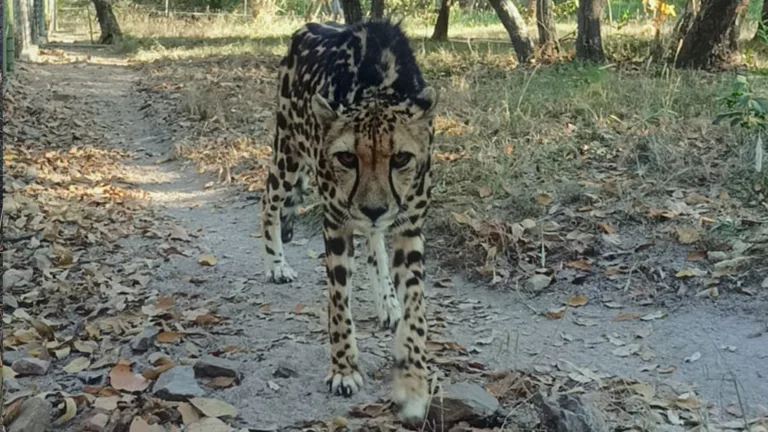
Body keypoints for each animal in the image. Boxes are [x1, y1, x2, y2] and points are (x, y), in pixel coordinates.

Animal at [259, 19, 438, 423]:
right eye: (346, 158)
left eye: (401, 158)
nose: (373, 209)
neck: (376, 86)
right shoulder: (337, 222)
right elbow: (339, 303)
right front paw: (343, 369)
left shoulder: (410, 227)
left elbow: (416, 310)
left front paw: (413, 382)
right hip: (288, 156)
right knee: (268, 201)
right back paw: (276, 264)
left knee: (375, 243)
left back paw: (387, 302)